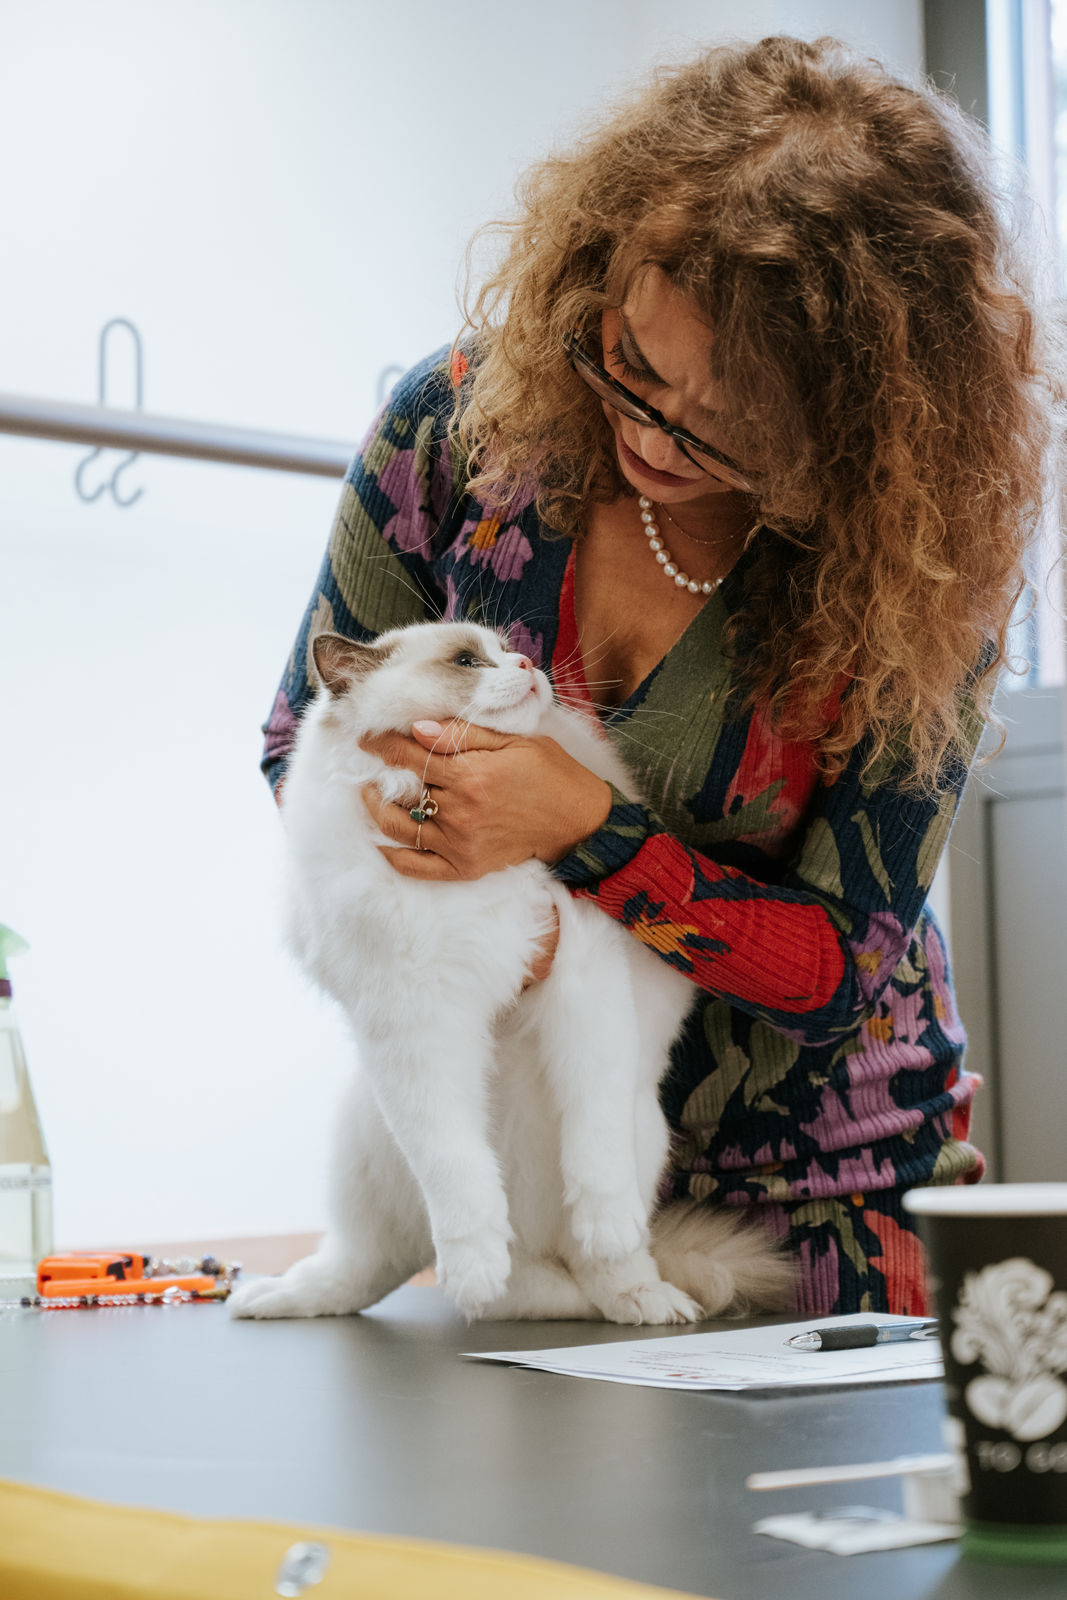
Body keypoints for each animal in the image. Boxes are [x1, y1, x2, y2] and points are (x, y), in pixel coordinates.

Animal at [229, 620, 791, 1324]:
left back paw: (644, 1298)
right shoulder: (416, 1024)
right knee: (377, 1266)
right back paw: (296, 1296)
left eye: (505, 649)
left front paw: (605, 1230)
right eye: (467, 661)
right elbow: (457, 1172)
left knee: (600, 1267)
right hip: (363, 1143)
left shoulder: (585, 982)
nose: (527, 664)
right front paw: (475, 1270)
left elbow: (595, 1149)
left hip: (644, 1135)